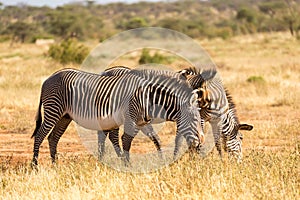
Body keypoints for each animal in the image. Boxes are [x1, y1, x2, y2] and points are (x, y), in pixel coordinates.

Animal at [31, 68, 204, 165]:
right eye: (195, 120)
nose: (201, 144)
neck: (149, 98)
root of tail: (48, 79)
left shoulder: (142, 122)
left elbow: (156, 139)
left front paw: (162, 162)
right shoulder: (131, 119)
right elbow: (126, 141)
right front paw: (127, 166)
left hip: (65, 116)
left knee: (53, 138)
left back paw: (55, 165)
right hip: (54, 110)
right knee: (40, 135)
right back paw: (35, 165)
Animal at [98, 66, 253, 162]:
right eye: (241, 138)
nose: (239, 162)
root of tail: (106, 72)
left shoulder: (208, 120)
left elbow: (215, 142)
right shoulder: (198, 117)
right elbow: (189, 138)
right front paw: (195, 158)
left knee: (107, 133)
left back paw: (107, 158)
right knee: (110, 135)